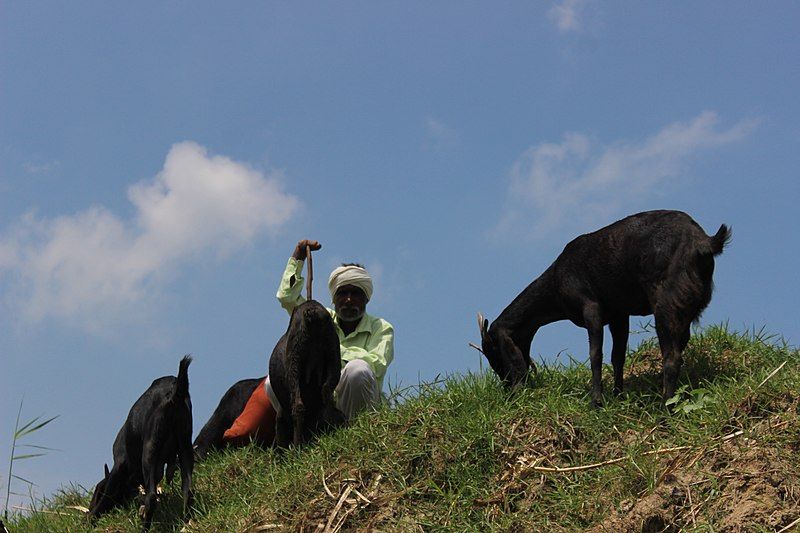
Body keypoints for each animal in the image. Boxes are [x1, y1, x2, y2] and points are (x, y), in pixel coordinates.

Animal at [89, 356, 194, 528]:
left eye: (97, 491)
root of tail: (175, 393)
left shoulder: (119, 466)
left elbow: (107, 497)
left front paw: (90, 518)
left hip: (150, 450)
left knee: (151, 497)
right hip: (185, 445)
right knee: (188, 490)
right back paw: (187, 520)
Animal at [268, 300, 344, 444]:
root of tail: (313, 312)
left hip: (294, 365)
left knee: (298, 406)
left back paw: (298, 446)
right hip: (333, 358)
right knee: (327, 396)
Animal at [476, 210, 732, 406]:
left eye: (493, 351)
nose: (508, 389)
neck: (556, 282)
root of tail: (703, 241)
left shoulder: (591, 307)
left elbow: (595, 353)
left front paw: (596, 401)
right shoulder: (619, 314)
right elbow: (617, 356)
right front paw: (618, 395)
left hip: (665, 303)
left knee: (672, 357)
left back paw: (664, 408)